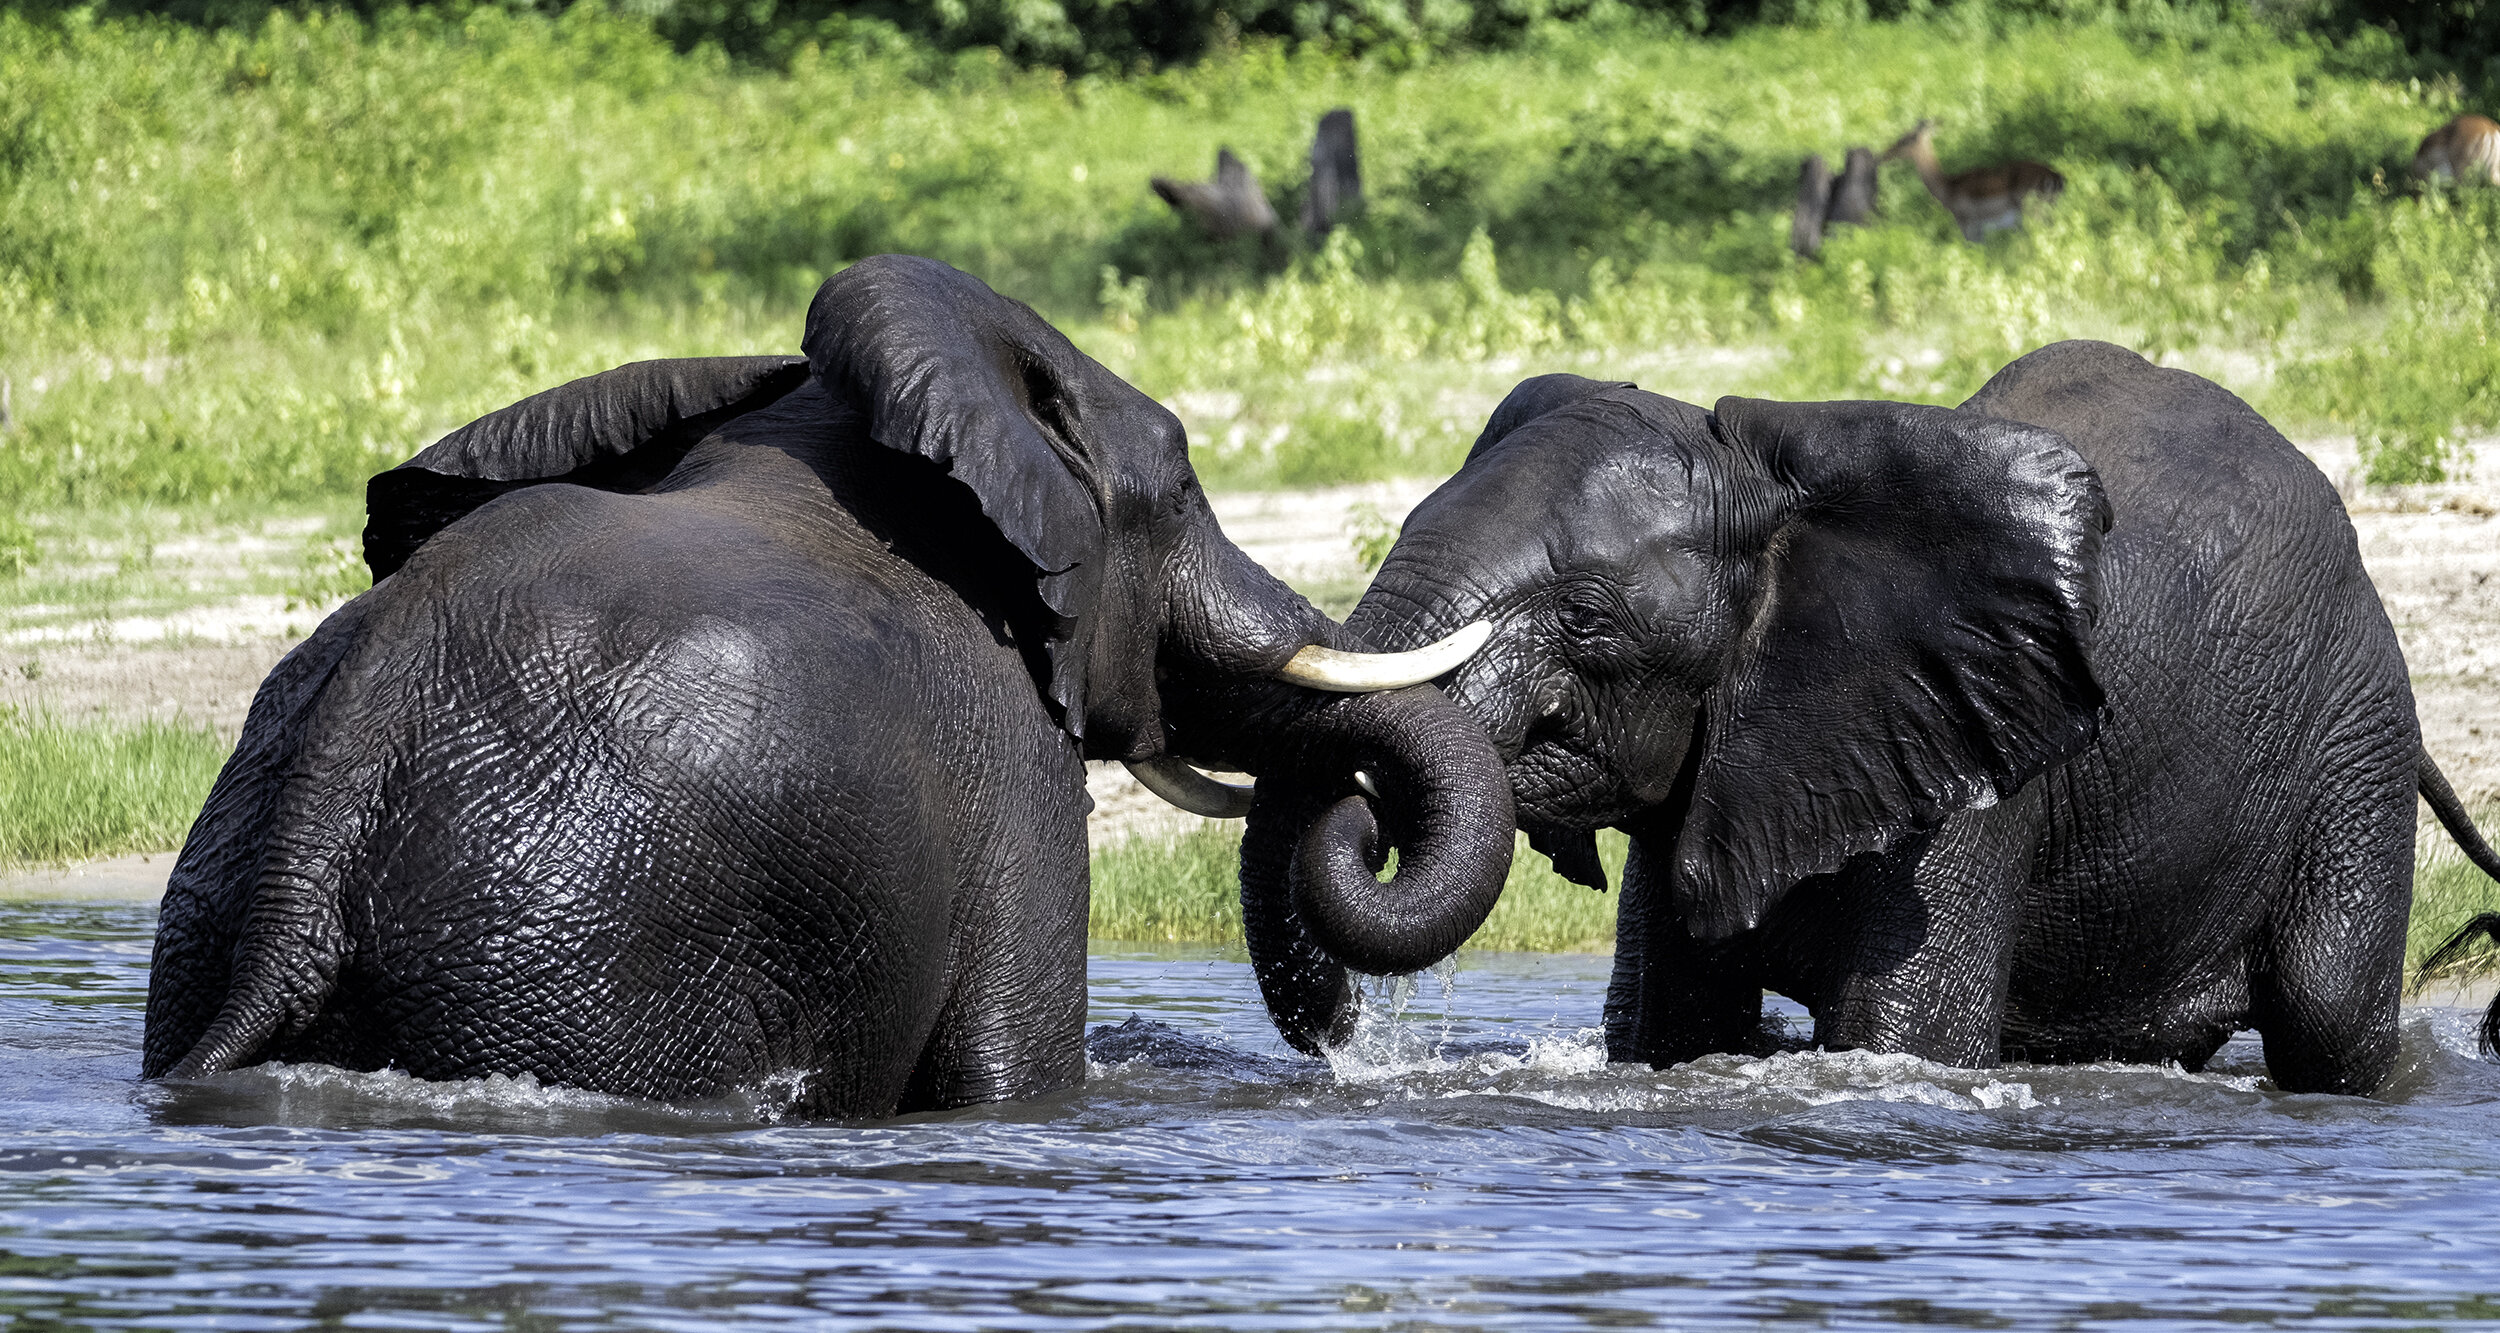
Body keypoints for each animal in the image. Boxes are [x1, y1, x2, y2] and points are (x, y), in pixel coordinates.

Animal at [161, 252, 1520, 1110]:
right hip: (566, 946)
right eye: (1182, 491)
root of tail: (318, 820)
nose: (1364, 823)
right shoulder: (1009, 759)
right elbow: (1010, 1066)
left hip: (227, 878)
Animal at [1245, 340, 2500, 1090]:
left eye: (1589, 621)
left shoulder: (1972, 755)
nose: (1367, 819)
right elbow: (1667, 1030)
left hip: (2356, 731)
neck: (1772, 486)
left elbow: (1902, 1040)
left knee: (2324, 1010)